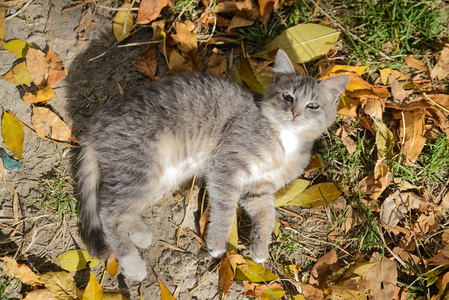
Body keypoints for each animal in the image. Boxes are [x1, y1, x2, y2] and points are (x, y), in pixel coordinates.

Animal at [78, 48, 350, 282]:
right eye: (287, 96)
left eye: (313, 106)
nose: (295, 113)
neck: (284, 138)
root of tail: (94, 126)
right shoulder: (226, 165)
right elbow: (225, 209)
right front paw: (218, 243)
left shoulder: (258, 187)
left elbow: (267, 214)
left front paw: (259, 247)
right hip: (141, 167)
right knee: (109, 212)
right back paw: (132, 262)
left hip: (157, 177)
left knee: (124, 210)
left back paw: (139, 234)